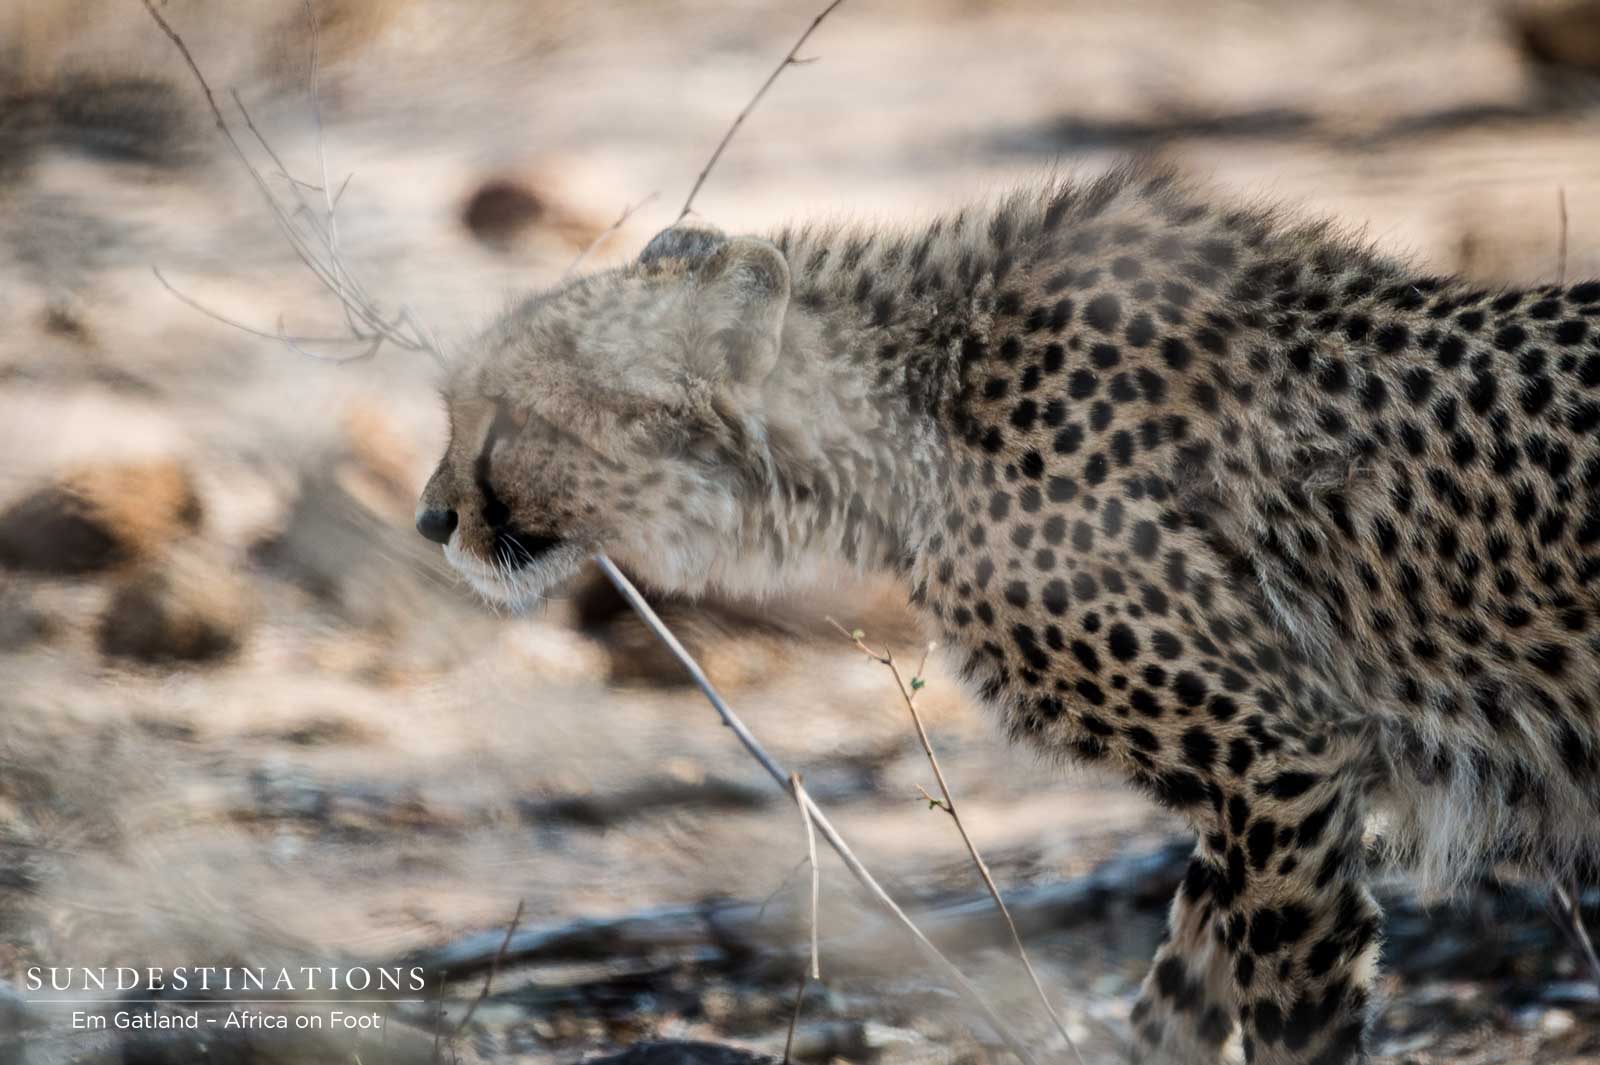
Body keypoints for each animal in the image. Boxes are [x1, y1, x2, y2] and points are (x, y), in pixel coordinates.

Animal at [416, 162, 1600, 1065]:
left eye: (502, 418)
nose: (432, 521)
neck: (916, 407)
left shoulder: (1277, 762)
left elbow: (1290, 1012)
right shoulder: (1267, 786)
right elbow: (1178, 990)